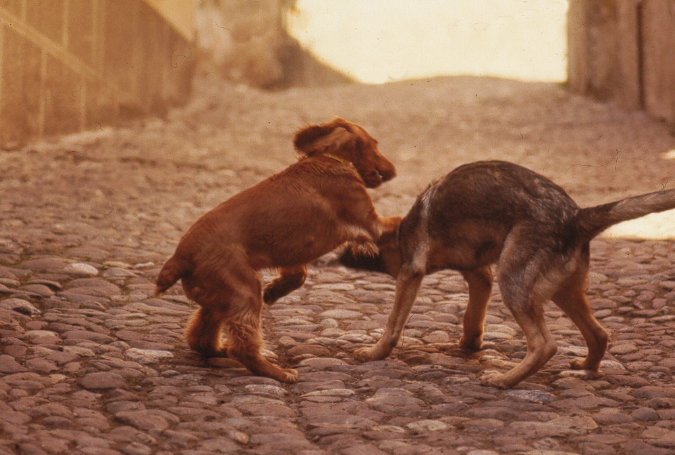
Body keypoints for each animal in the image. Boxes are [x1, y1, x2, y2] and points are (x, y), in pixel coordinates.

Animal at [157, 118, 402, 384]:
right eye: (374, 144)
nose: (393, 171)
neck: (329, 158)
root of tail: (180, 257)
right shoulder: (371, 225)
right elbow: (400, 219)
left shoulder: (293, 250)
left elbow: (298, 275)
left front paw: (275, 290)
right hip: (244, 292)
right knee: (242, 347)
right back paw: (279, 373)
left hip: (220, 298)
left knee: (200, 338)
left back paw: (221, 350)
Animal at [340, 160, 675, 388]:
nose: (343, 259)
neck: (399, 231)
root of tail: (576, 217)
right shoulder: (479, 275)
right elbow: (472, 317)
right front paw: (469, 345)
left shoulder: (411, 272)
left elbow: (392, 324)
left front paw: (374, 353)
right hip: (562, 292)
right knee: (599, 334)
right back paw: (586, 367)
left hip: (514, 283)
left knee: (544, 345)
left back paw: (503, 380)